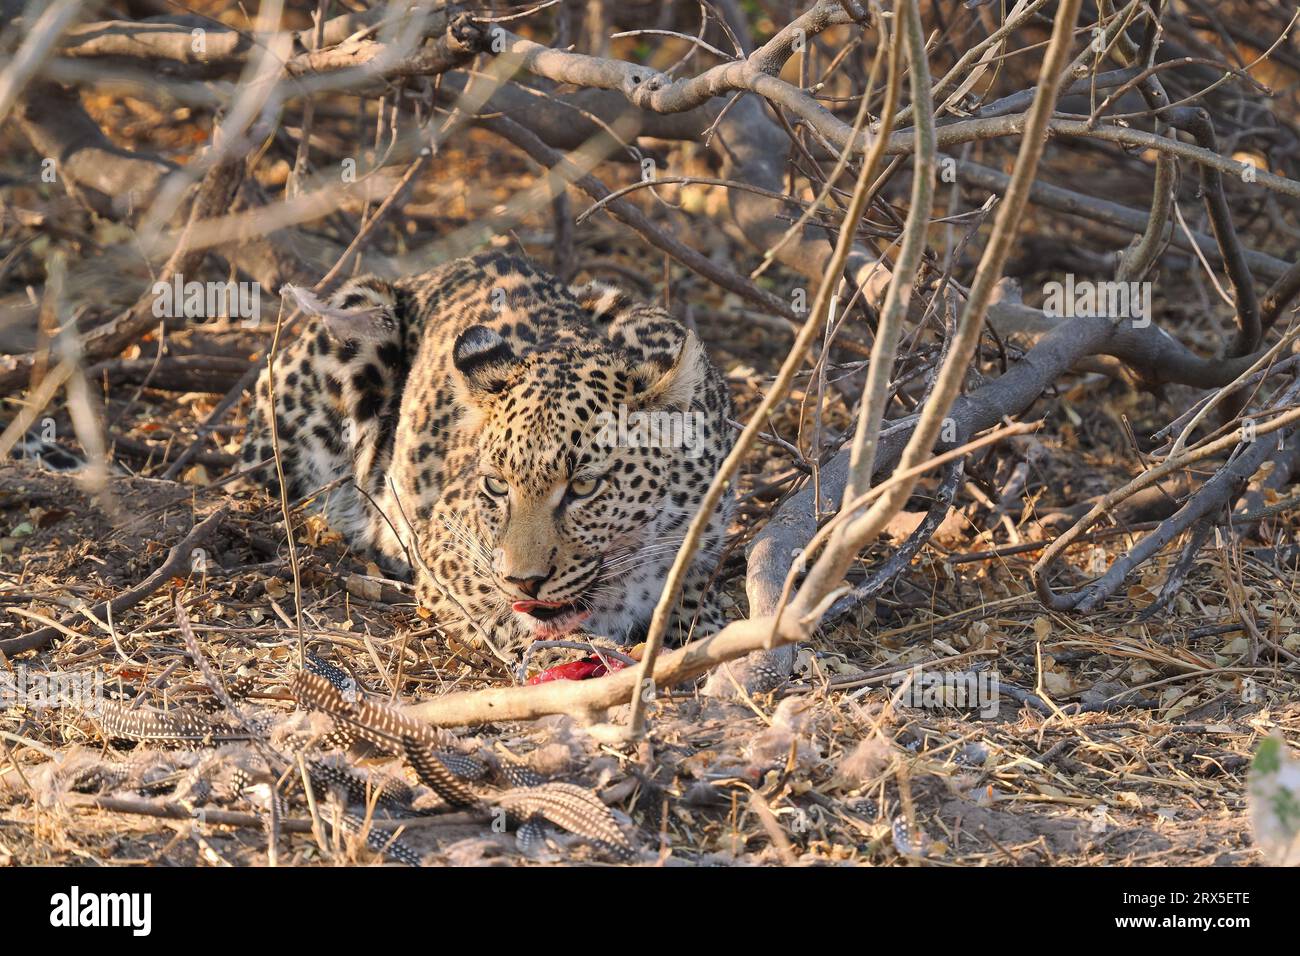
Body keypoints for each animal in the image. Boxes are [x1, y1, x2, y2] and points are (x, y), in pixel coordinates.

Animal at [241, 251, 733, 660]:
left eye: (584, 486)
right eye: (497, 486)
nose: (525, 581)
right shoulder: (445, 547)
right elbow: (516, 620)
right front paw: (571, 651)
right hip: (355, 316)